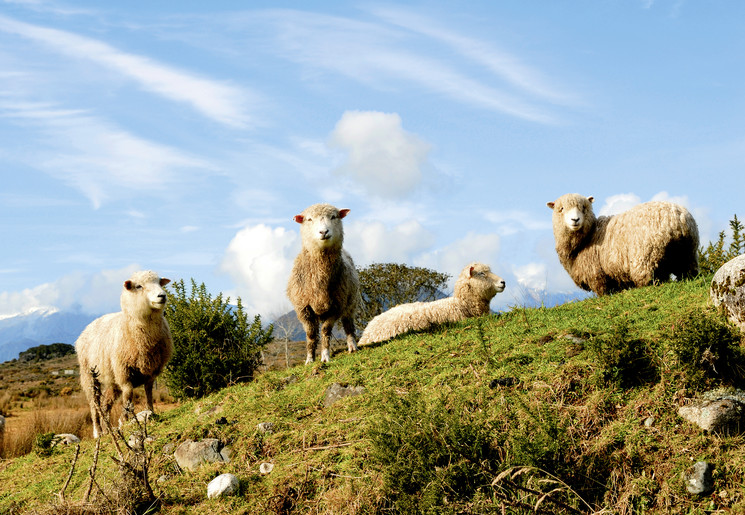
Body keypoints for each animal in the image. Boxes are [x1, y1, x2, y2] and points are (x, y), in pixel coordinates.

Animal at [76, 270, 174, 440]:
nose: (162, 295)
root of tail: (86, 328)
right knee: (94, 405)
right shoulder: (123, 371)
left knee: (105, 405)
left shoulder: (151, 370)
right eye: (139, 286)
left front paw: (151, 412)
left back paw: (107, 429)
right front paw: (125, 420)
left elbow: (149, 391)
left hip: (111, 380)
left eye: (159, 283)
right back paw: (98, 432)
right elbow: (128, 395)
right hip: (89, 376)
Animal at [284, 204, 360, 364]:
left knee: (348, 324)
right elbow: (311, 334)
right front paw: (309, 359)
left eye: (333, 217)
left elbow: (325, 331)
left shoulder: (335, 307)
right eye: (309, 219)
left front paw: (325, 356)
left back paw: (352, 346)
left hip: (351, 302)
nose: (324, 231)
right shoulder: (304, 308)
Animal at [548, 194, 696, 296]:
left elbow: (603, 292)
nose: (575, 220)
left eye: (584, 208)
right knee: (688, 271)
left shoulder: (597, 275)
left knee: (649, 279)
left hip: (646, 258)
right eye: (561, 209)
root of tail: (677, 217)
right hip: (687, 252)